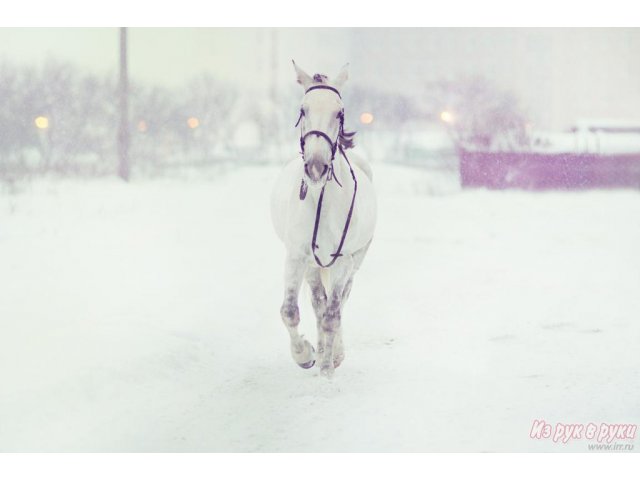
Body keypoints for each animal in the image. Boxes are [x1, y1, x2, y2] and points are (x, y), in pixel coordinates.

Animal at [268, 62, 376, 376]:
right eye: (303, 110)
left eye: (339, 113)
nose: (316, 167)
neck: (321, 201)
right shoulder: (296, 256)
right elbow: (290, 311)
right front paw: (305, 355)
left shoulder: (342, 260)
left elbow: (333, 314)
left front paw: (329, 365)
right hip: (312, 266)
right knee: (318, 302)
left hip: (355, 261)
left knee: (338, 303)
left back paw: (333, 353)